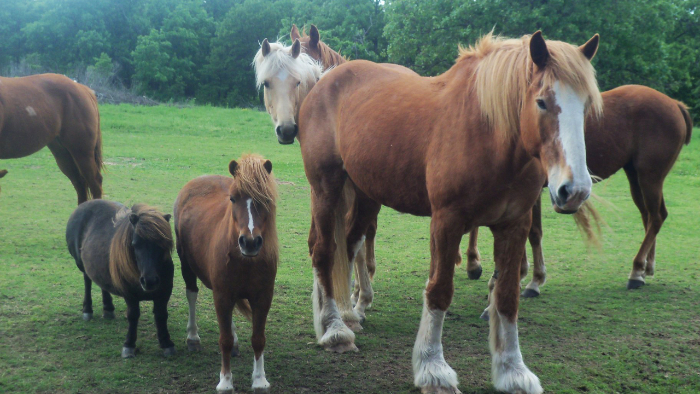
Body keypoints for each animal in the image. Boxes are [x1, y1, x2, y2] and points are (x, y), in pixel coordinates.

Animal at [66, 202, 176, 358]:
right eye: (135, 244)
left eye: (163, 244)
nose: (149, 281)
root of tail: (83, 205)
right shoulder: (130, 295)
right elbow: (133, 316)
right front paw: (129, 345)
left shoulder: (165, 293)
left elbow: (161, 315)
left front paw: (166, 343)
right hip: (81, 263)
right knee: (87, 281)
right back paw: (87, 310)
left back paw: (108, 308)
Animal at [175, 155, 278, 394]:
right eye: (232, 198)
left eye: (266, 200)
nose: (250, 242)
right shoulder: (222, 295)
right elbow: (224, 340)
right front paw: (225, 381)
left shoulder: (263, 297)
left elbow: (258, 338)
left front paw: (260, 379)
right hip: (187, 266)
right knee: (191, 294)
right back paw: (193, 337)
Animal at [296, 31, 600, 394]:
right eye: (541, 102)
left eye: (586, 105)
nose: (574, 190)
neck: (488, 133)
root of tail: (323, 81)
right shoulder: (447, 221)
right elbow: (439, 291)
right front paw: (433, 369)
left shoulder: (514, 224)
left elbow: (507, 296)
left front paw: (512, 371)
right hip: (325, 188)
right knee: (324, 251)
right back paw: (333, 329)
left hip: (366, 194)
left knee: (347, 246)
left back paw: (343, 317)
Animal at [468, 84, 692, 298]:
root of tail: (674, 104)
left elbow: (533, 233)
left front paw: (534, 280)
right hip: (635, 177)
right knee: (648, 217)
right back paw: (646, 268)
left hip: (650, 177)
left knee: (657, 217)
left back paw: (636, 271)